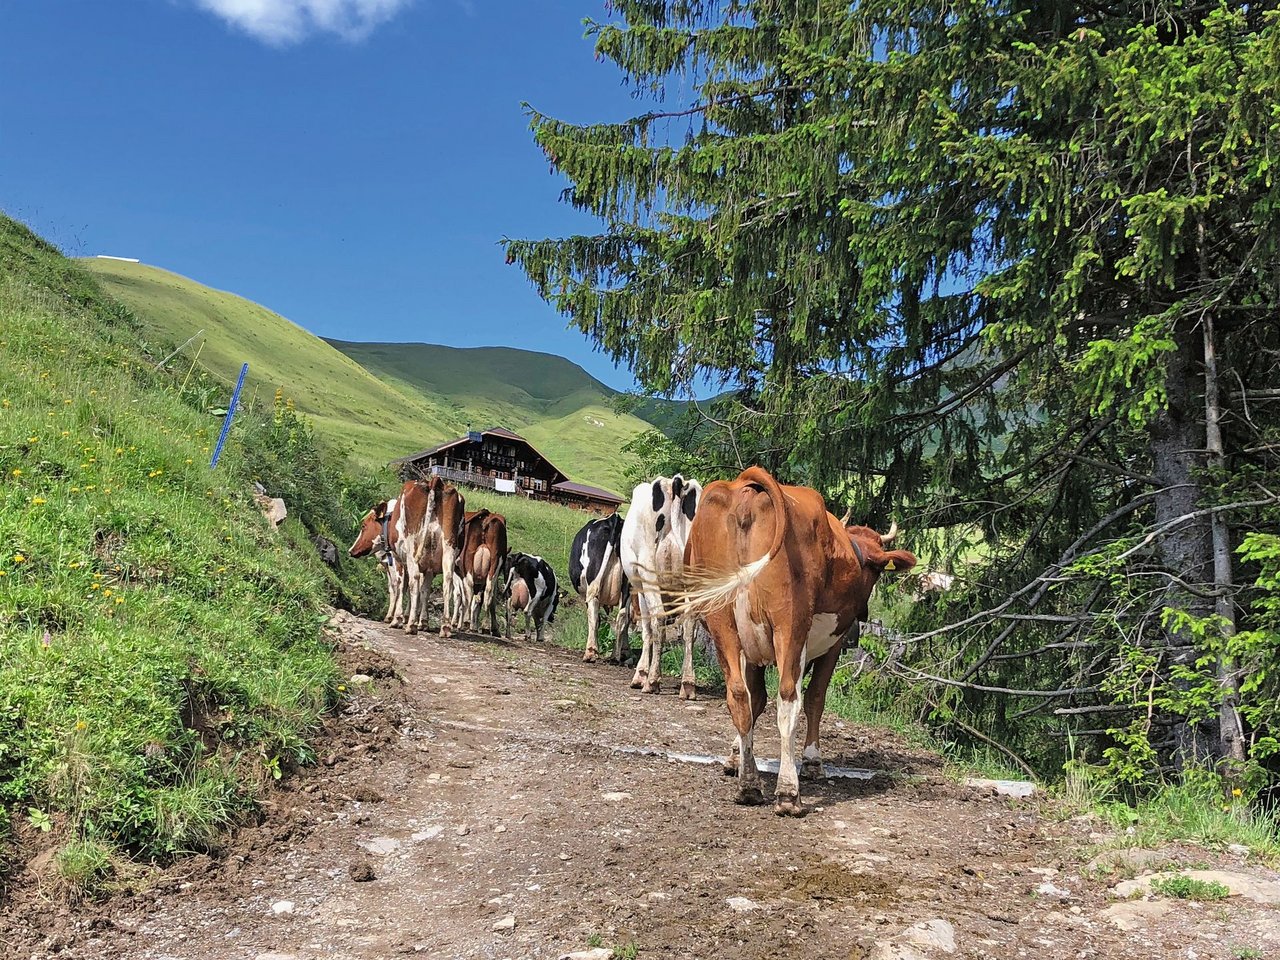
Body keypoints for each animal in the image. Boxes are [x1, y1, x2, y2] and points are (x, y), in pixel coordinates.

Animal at [396, 476, 468, 640]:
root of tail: (435, 481)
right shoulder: (430, 568)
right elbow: (425, 591)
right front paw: (423, 622)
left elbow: (403, 585)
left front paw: (400, 619)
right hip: (449, 545)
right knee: (447, 580)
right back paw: (445, 627)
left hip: (412, 544)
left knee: (414, 579)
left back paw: (411, 625)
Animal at [453, 512, 506, 640]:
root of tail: (487, 515)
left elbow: (459, 596)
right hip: (495, 563)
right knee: (488, 593)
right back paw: (485, 627)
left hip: (467, 560)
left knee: (469, 589)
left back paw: (467, 621)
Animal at [570, 514, 629, 665]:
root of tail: (614, 519)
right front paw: (625, 651)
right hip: (628, 584)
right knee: (623, 615)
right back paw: (615, 656)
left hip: (593, 582)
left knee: (594, 612)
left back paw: (590, 653)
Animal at [686, 471, 916, 814]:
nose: (863, 614)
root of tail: (747, 491)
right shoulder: (834, 644)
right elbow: (815, 698)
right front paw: (812, 762)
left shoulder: (750, 649)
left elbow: (755, 699)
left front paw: (736, 757)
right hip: (789, 624)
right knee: (788, 699)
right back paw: (788, 792)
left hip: (721, 620)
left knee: (738, 695)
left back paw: (749, 785)